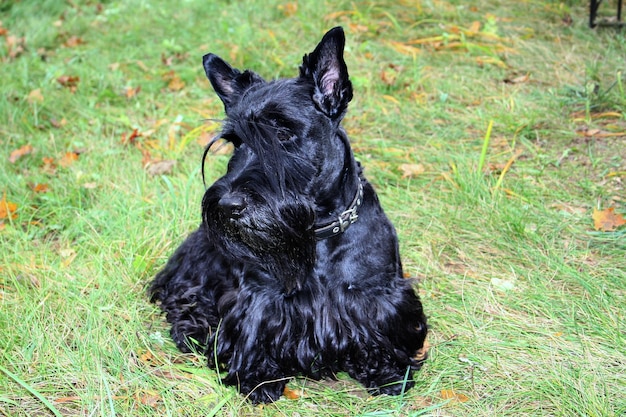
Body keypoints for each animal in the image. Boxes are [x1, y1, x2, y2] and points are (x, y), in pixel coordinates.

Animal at [149, 26, 426, 404]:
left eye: (282, 132)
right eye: (236, 141)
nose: (227, 205)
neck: (316, 234)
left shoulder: (376, 296)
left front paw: (388, 373)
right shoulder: (259, 299)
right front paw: (257, 378)